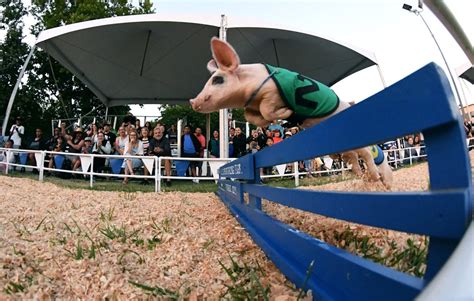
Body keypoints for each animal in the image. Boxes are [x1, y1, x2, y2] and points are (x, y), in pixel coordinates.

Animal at [189, 37, 392, 188]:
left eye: (218, 80)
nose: (193, 102)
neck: (252, 87)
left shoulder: (271, 94)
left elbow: (267, 109)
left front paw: (286, 113)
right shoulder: (250, 107)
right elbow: (251, 116)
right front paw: (269, 122)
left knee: (367, 154)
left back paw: (378, 179)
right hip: (345, 148)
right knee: (353, 158)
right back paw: (364, 176)